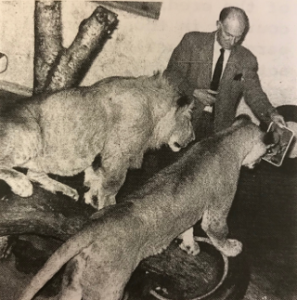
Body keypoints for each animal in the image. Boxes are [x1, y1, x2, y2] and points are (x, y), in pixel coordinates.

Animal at [0, 72, 194, 209]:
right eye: (189, 119)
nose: (193, 138)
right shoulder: (118, 151)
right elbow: (114, 182)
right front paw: (105, 206)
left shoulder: (101, 153)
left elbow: (96, 175)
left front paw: (92, 196)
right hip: (31, 134)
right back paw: (22, 185)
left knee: (33, 173)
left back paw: (65, 190)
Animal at [16, 115, 272, 300]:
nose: (258, 163)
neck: (225, 138)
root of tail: (97, 225)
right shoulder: (218, 207)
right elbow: (217, 231)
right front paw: (233, 247)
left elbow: (187, 226)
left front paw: (189, 246)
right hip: (108, 287)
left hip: (75, 281)